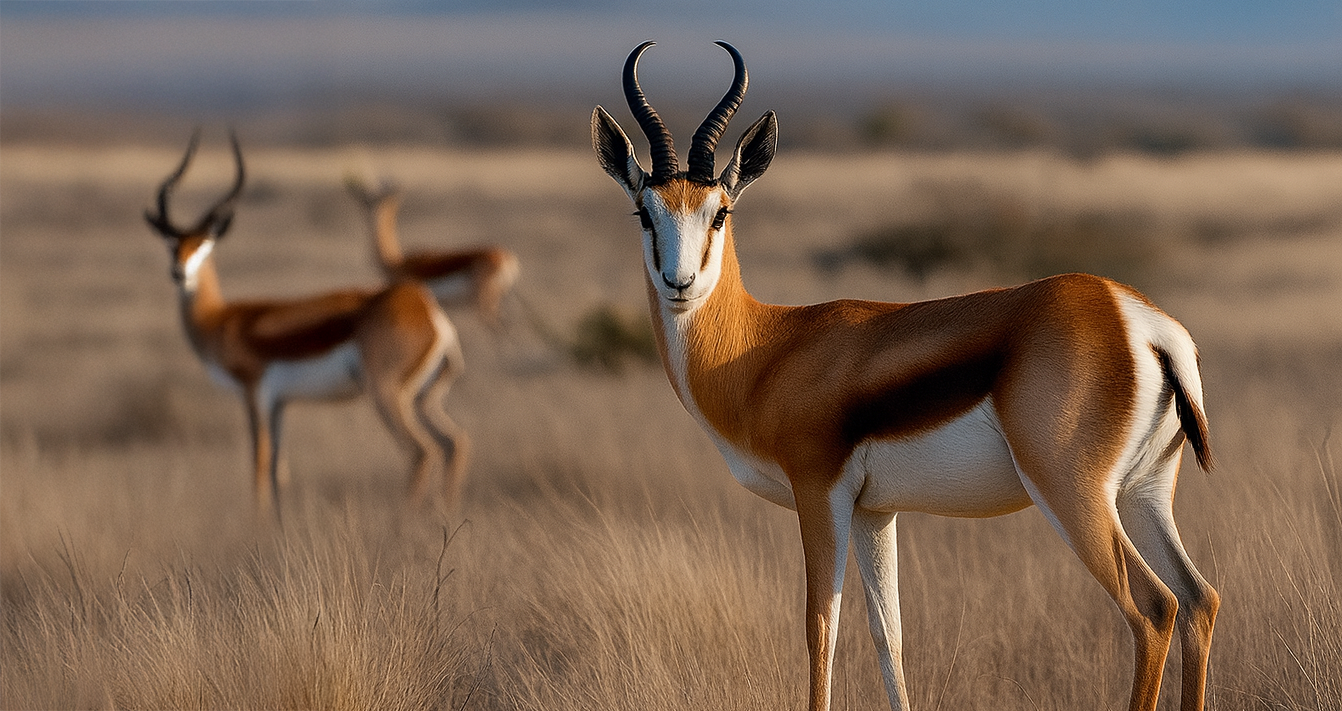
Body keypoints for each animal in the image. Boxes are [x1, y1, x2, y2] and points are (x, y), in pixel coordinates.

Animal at [145, 131, 470, 517]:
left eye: (203, 244)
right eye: (171, 244)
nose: (179, 273)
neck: (222, 319)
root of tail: (430, 312)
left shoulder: (254, 393)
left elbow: (259, 460)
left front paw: (257, 523)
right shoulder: (280, 404)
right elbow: (278, 470)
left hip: (386, 392)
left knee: (422, 451)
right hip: (423, 398)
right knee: (454, 442)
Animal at [346, 179, 520, 325]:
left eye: (373, 199)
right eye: (366, 197)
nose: (361, 202)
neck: (396, 262)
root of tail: (506, 256)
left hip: (483, 301)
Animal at [593, 42, 1219, 711]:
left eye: (720, 212)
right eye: (645, 211)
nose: (679, 283)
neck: (766, 348)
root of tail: (1140, 322)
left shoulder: (820, 494)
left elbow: (822, 629)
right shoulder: (876, 512)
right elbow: (888, 636)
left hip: (1073, 493)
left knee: (1154, 609)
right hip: (1144, 493)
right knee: (1199, 599)